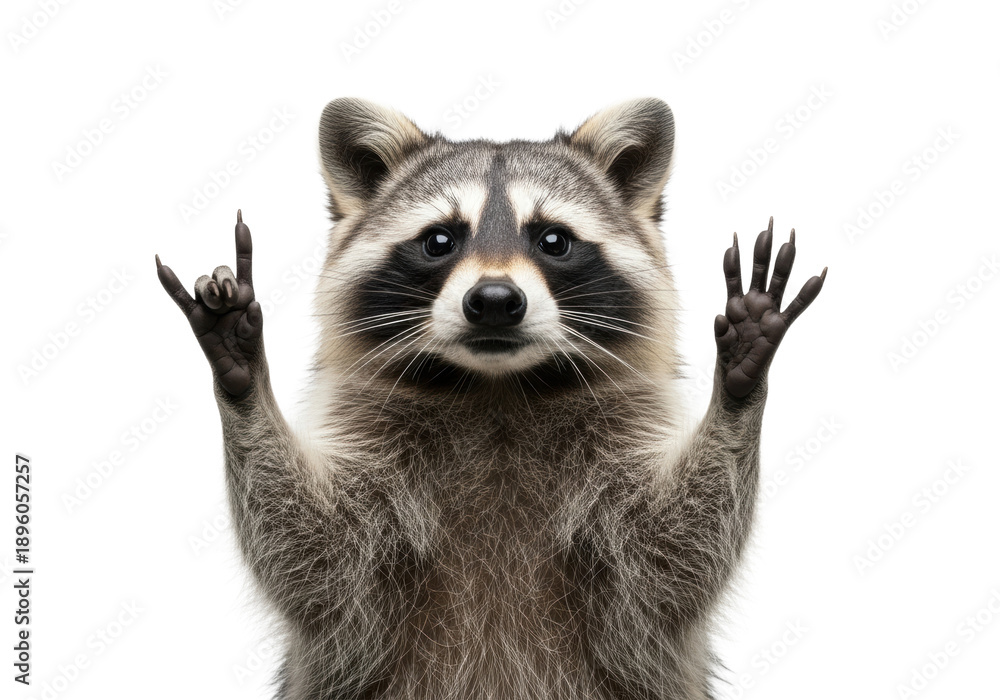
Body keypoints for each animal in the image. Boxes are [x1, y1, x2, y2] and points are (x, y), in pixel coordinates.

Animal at [157, 97, 825, 700]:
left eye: (553, 240)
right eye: (439, 240)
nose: (497, 301)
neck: (495, 387)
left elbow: (676, 553)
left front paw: (738, 384)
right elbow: (312, 553)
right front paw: (244, 375)